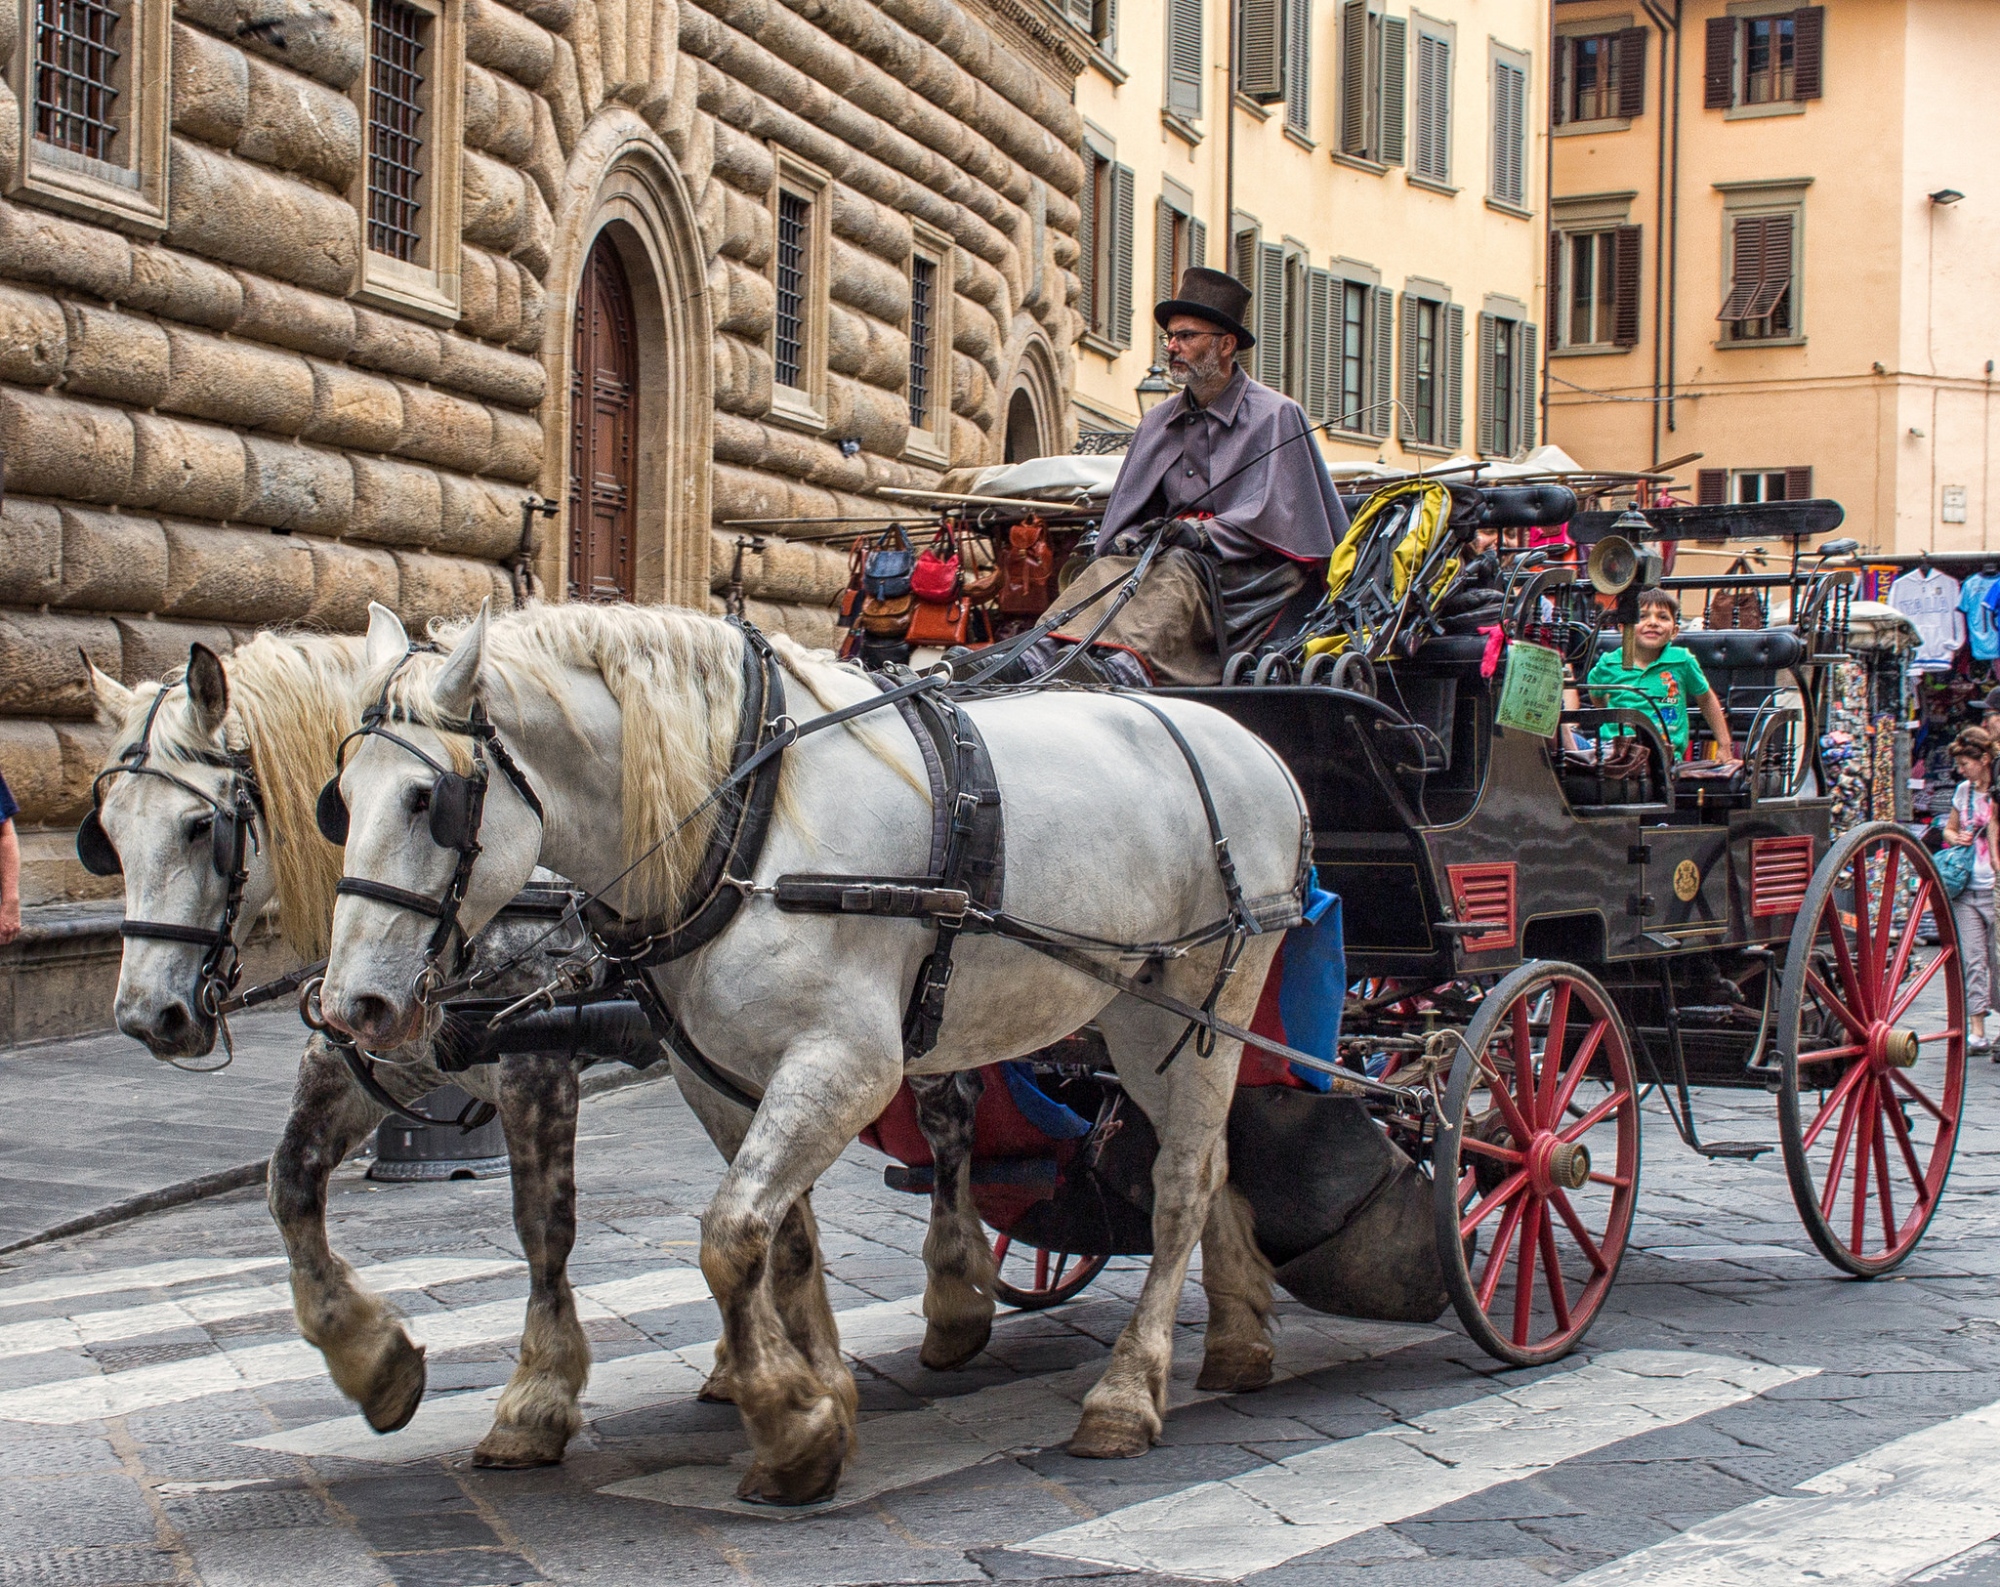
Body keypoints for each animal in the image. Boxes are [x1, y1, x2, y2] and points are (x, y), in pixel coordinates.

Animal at [312, 599, 1312, 1503]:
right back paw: (1238, 1337)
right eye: (340, 801)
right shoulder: (720, 1075)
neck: (745, 822)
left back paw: (1128, 1392)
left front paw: (791, 1431)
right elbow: (779, 1237)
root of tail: (1257, 748)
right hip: (1128, 1008)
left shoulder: (846, 1063)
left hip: (1194, 1003)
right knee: (1211, 1157)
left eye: (429, 801)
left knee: (1181, 1179)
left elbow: (728, 1235)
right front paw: (819, 1394)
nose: (351, 1005)